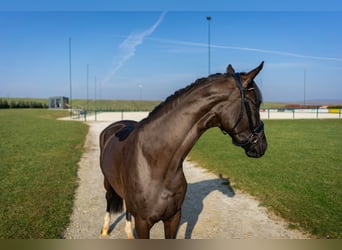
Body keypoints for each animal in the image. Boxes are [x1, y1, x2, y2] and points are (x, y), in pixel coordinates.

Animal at [99, 62, 268, 238]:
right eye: (256, 103)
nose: (263, 145)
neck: (154, 162)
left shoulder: (173, 217)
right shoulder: (142, 223)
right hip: (108, 183)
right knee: (109, 198)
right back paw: (105, 229)